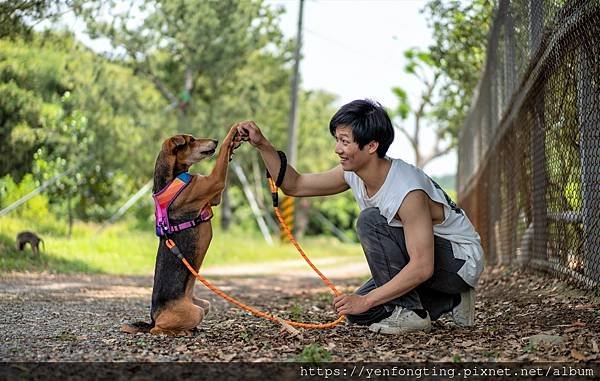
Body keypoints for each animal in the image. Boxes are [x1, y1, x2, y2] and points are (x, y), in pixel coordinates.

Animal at [120, 123, 243, 334]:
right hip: (195, 312)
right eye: (191, 140)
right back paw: (181, 331)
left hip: (204, 304)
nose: (215, 140)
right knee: (157, 330)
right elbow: (222, 157)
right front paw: (232, 134)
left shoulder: (215, 196)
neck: (171, 178)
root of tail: (154, 318)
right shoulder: (215, 181)